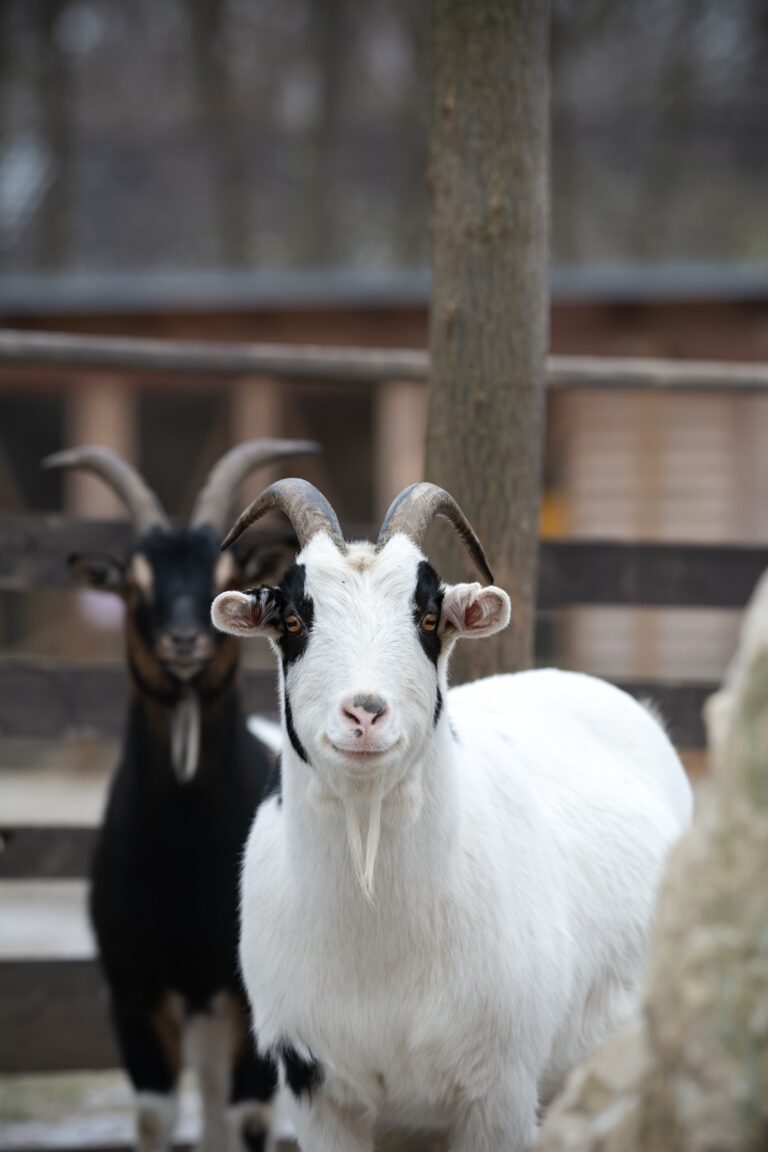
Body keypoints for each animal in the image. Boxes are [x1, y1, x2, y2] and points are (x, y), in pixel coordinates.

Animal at [45, 443, 317, 1152]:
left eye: (229, 576)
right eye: (135, 585)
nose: (186, 641)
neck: (185, 856)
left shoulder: (251, 994)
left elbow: (251, 1120)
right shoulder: (134, 987)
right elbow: (154, 1117)